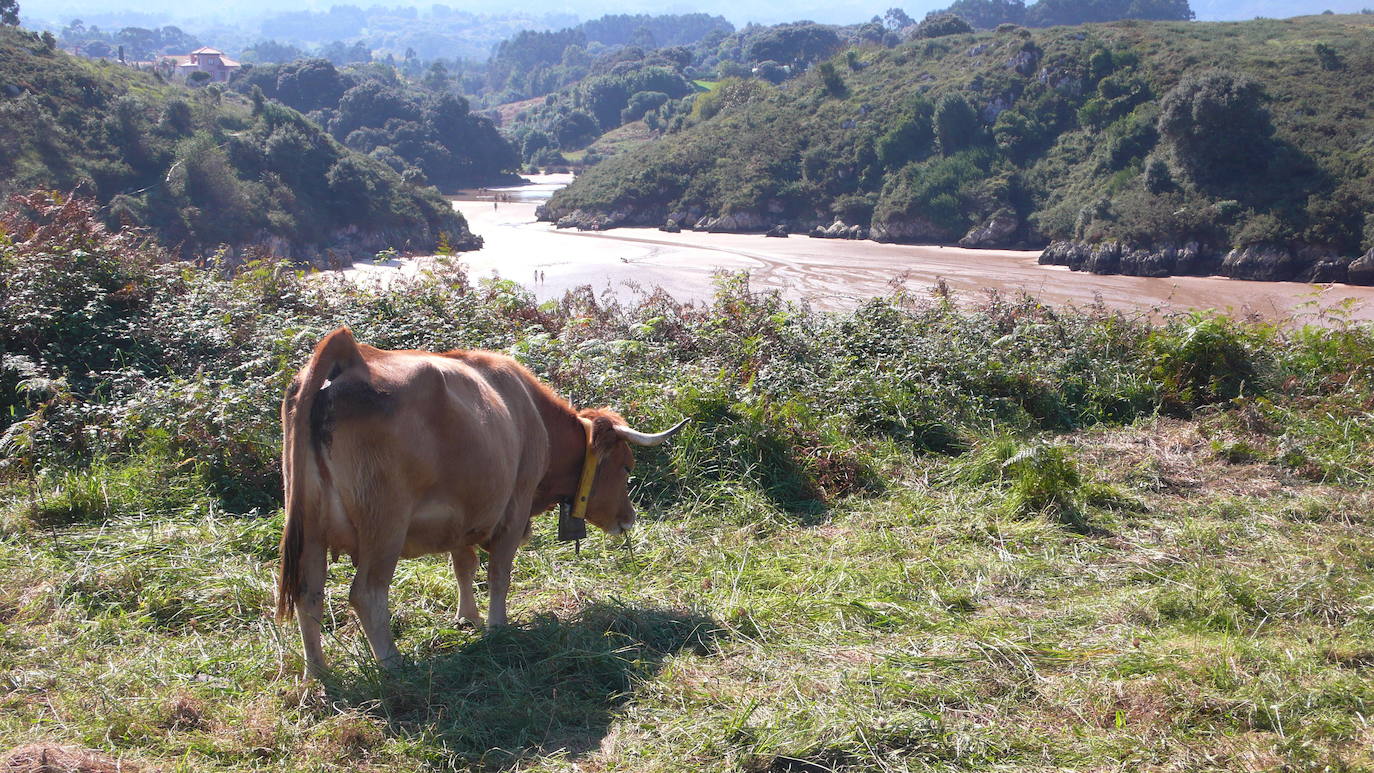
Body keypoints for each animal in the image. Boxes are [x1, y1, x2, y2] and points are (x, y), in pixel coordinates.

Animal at [276, 326, 684, 678]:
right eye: (626, 465)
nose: (628, 519)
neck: (532, 415)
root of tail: (353, 356)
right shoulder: (514, 509)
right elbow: (499, 573)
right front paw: (496, 628)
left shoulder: (464, 515)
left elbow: (464, 566)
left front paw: (467, 617)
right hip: (384, 526)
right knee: (366, 593)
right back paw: (392, 664)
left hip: (311, 531)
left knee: (308, 595)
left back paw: (318, 673)